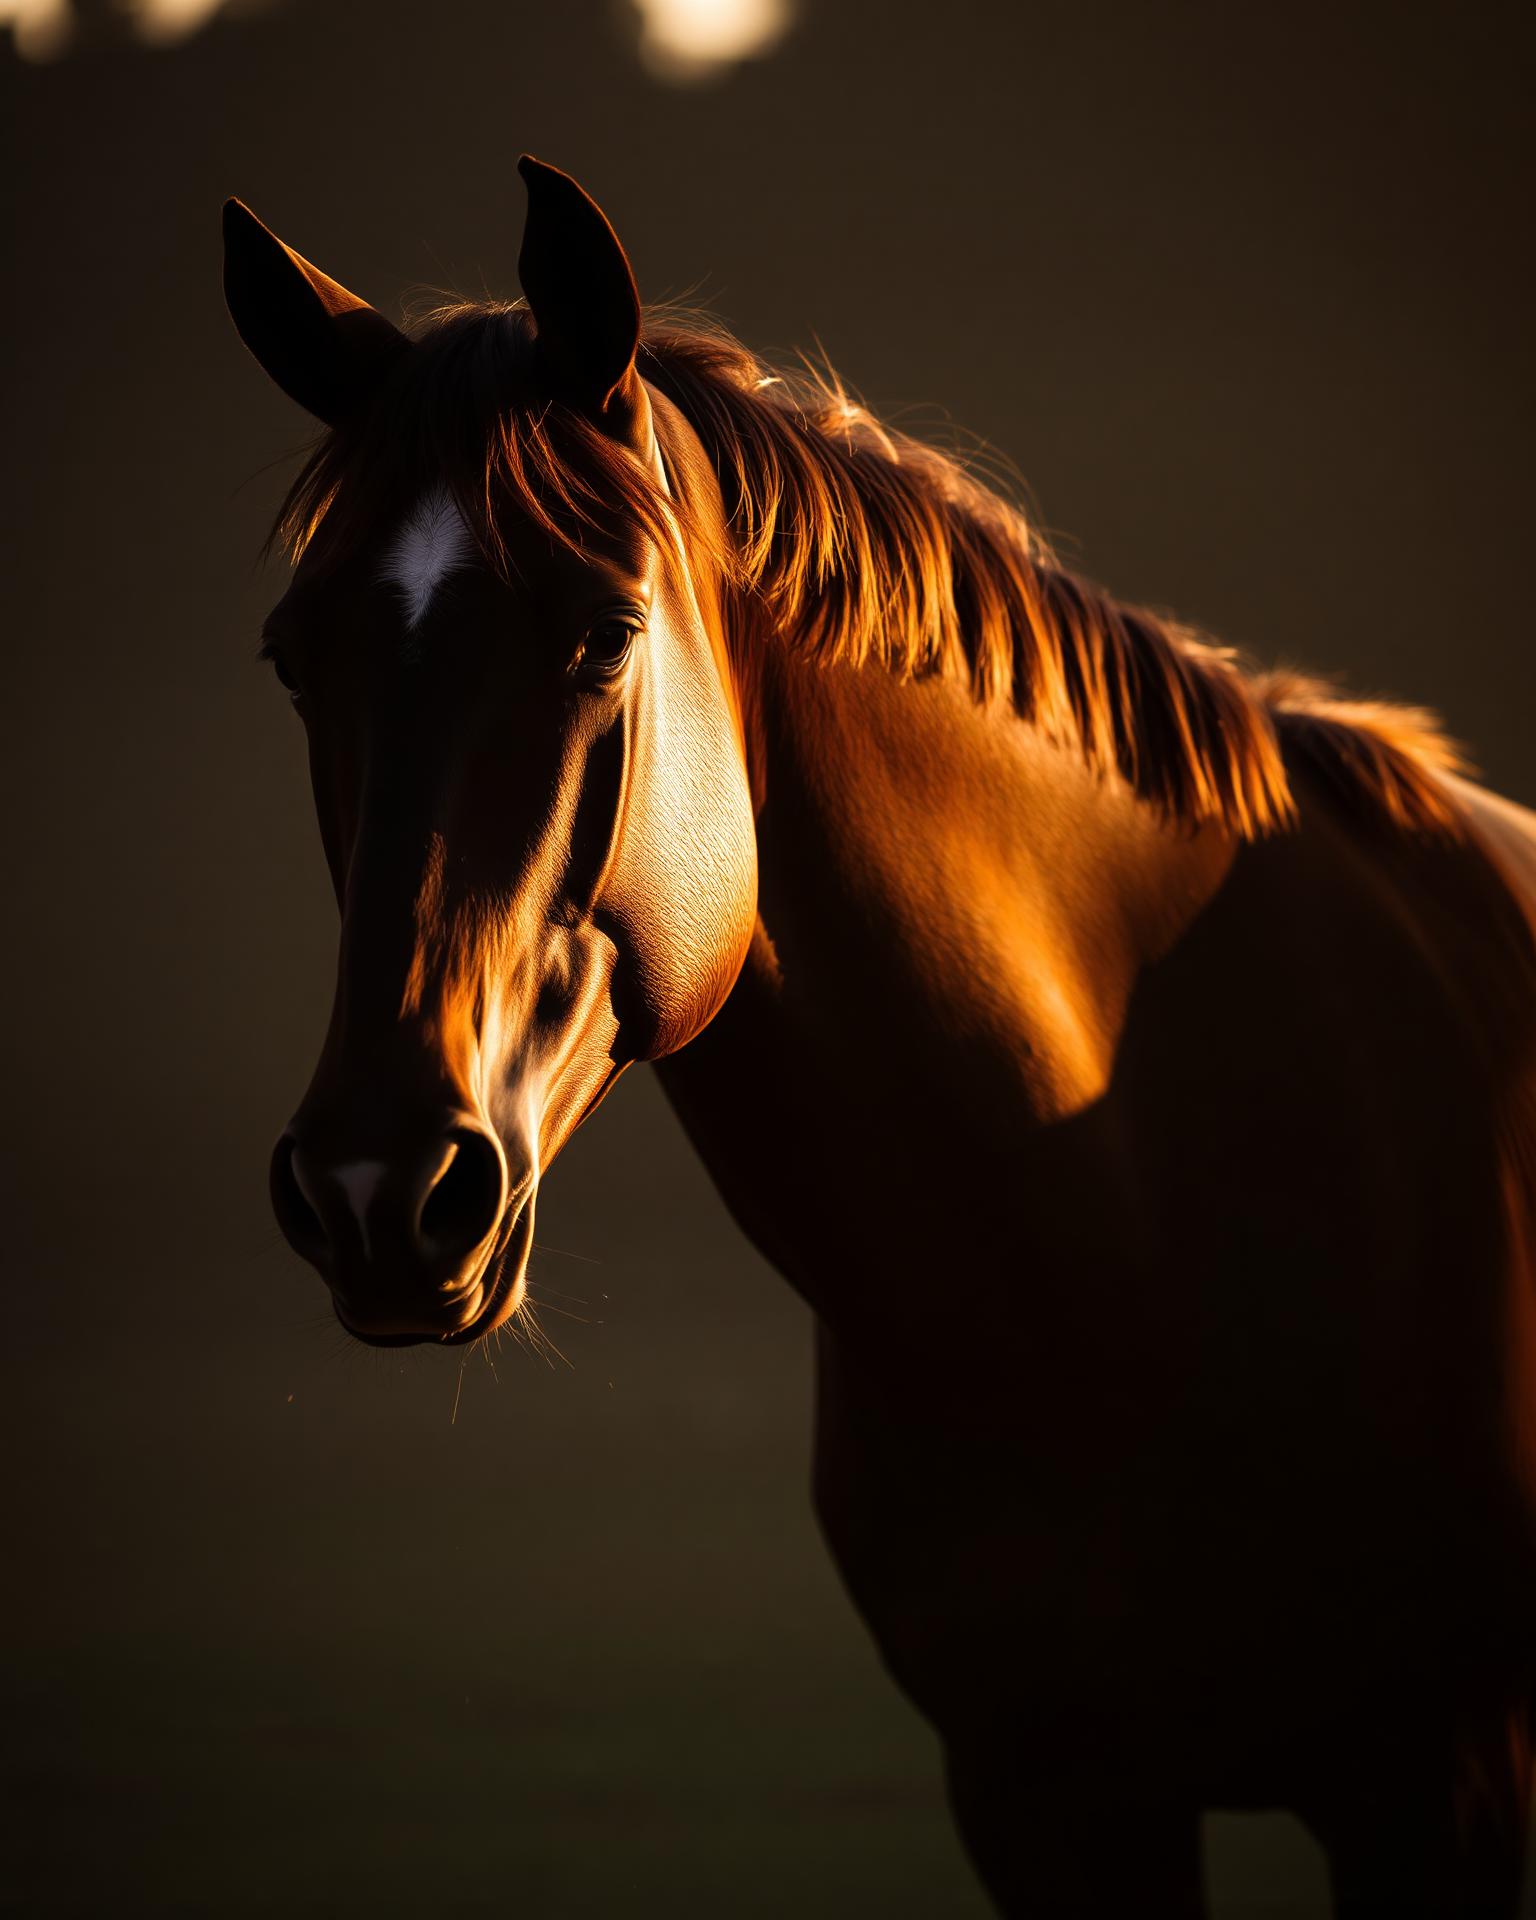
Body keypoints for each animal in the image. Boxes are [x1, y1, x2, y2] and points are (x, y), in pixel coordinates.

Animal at [222, 157, 1536, 1915]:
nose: (377, 1191)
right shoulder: (1049, 1801)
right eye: (298, 658)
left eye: (601, 635)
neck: (1136, 1212)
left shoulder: (1439, 1788)